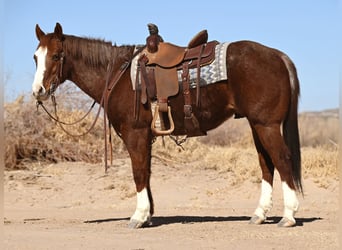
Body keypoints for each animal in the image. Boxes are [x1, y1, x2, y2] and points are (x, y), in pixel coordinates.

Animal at [30, 23, 300, 229]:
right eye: (35, 57)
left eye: (56, 56)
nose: (38, 91)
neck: (118, 74)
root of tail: (278, 56)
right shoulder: (145, 137)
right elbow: (147, 172)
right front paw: (148, 215)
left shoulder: (135, 134)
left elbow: (139, 172)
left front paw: (138, 217)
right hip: (257, 125)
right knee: (267, 164)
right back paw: (259, 214)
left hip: (266, 125)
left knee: (282, 159)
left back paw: (288, 215)